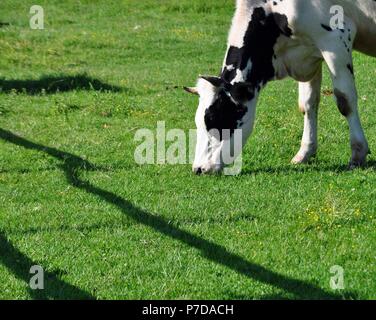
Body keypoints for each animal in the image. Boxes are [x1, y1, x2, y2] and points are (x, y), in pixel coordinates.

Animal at [186, 0, 376, 175]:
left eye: (214, 118)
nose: (198, 169)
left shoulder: (335, 39)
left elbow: (345, 101)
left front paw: (358, 154)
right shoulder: (309, 54)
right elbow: (308, 104)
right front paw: (304, 153)